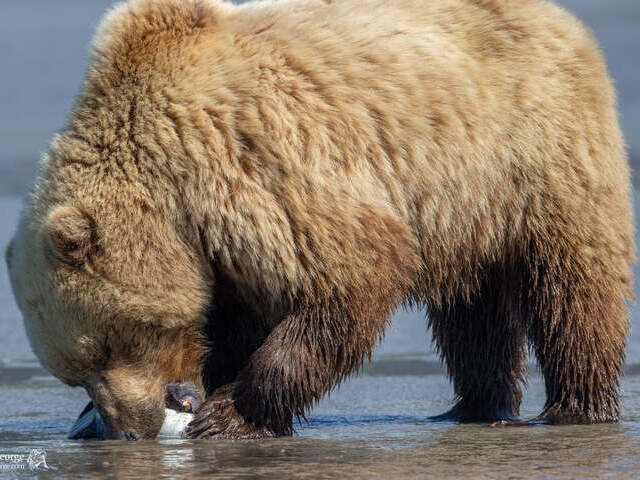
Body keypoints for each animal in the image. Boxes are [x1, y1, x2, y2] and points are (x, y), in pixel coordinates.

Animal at [6, 0, 636, 438]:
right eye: (75, 370)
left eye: (103, 348)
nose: (128, 427)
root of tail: (561, 19)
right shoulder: (221, 245)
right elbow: (235, 320)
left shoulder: (260, 165)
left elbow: (355, 274)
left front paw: (228, 414)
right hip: (467, 209)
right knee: (472, 312)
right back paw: (472, 405)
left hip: (537, 155)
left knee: (574, 289)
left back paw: (576, 407)